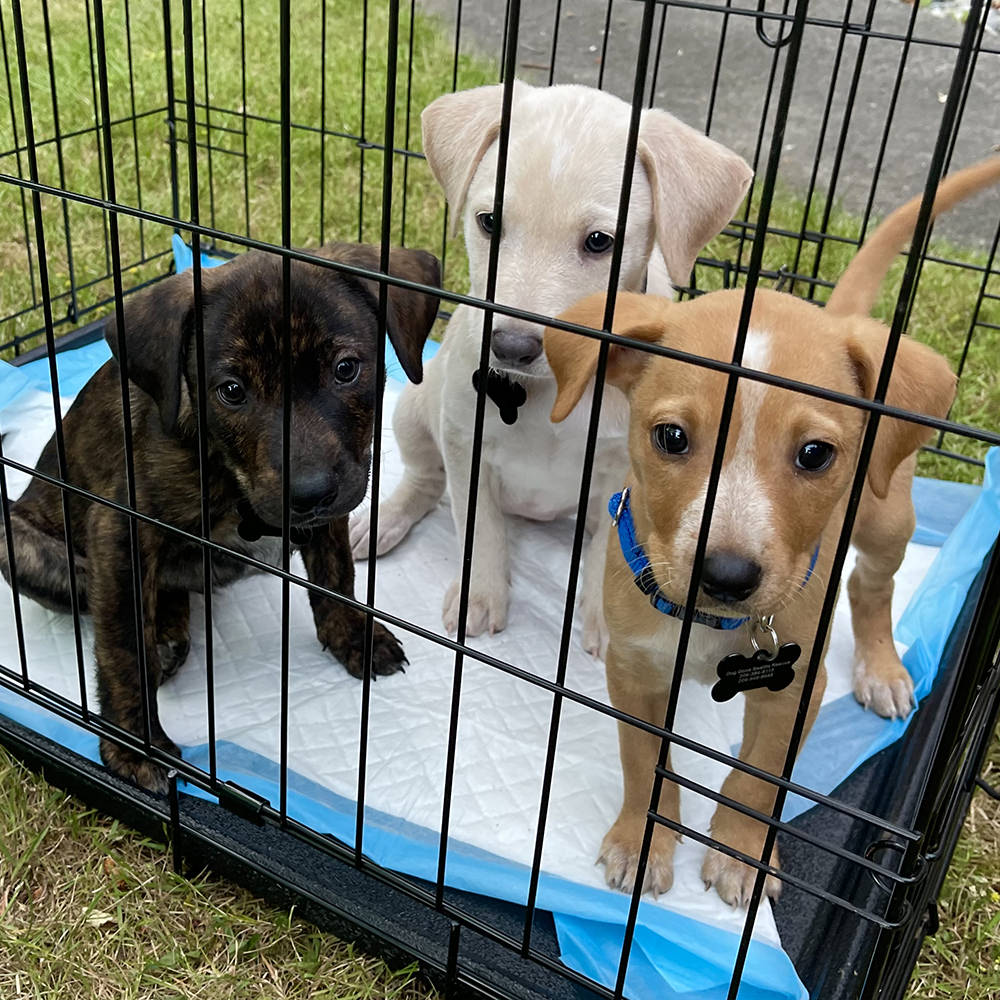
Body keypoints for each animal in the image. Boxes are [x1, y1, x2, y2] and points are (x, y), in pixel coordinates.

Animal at [0, 240, 438, 788]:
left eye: (345, 369)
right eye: (231, 390)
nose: (310, 492)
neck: (229, 477)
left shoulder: (341, 495)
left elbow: (335, 576)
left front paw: (353, 637)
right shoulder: (119, 527)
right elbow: (122, 644)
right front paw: (136, 748)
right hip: (18, 543)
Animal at [352, 80, 752, 648]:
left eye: (600, 242)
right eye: (489, 222)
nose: (511, 347)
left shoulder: (629, 474)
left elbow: (606, 549)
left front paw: (606, 617)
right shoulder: (465, 441)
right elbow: (479, 526)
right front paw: (480, 594)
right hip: (415, 407)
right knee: (427, 480)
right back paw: (383, 519)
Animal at [544, 158, 1000, 908]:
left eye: (815, 454)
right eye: (672, 437)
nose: (726, 576)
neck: (710, 627)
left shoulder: (796, 688)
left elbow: (759, 778)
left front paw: (739, 853)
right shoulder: (636, 671)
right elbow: (644, 763)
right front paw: (642, 838)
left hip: (888, 518)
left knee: (872, 587)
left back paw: (882, 668)